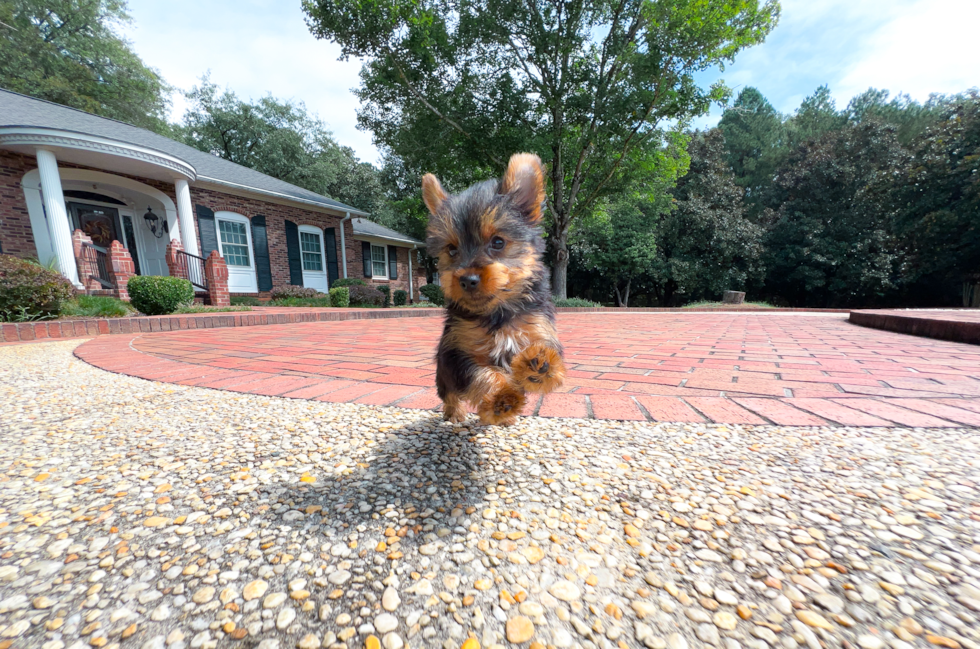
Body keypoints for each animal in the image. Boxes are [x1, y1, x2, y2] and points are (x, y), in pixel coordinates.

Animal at [422, 152, 568, 426]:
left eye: (498, 242)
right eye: (451, 250)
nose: (467, 279)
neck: (498, 312)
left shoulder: (538, 327)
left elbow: (545, 353)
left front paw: (540, 363)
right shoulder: (457, 352)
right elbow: (482, 373)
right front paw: (502, 396)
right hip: (442, 370)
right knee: (449, 393)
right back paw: (455, 413)